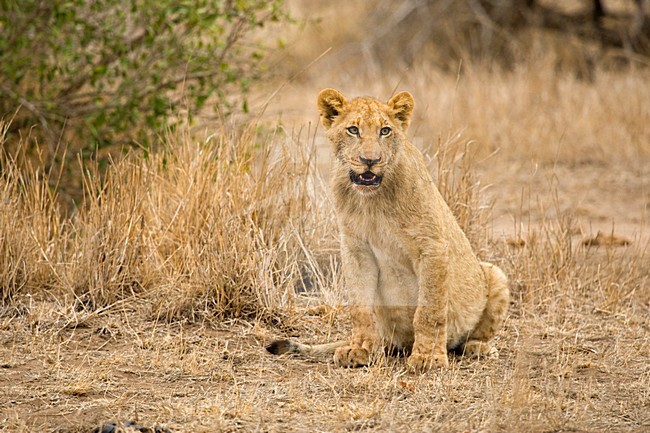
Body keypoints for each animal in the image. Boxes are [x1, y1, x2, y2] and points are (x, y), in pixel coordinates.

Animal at [267, 89, 509, 371]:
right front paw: (359, 350)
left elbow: (429, 310)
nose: (370, 161)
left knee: (467, 339)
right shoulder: (356, 248)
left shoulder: (432, 246)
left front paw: (428, 358)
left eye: (385, 131)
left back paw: (478, 348)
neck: (373, 200)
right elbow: (360, 308)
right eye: (353, 130)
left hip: (496, 274)